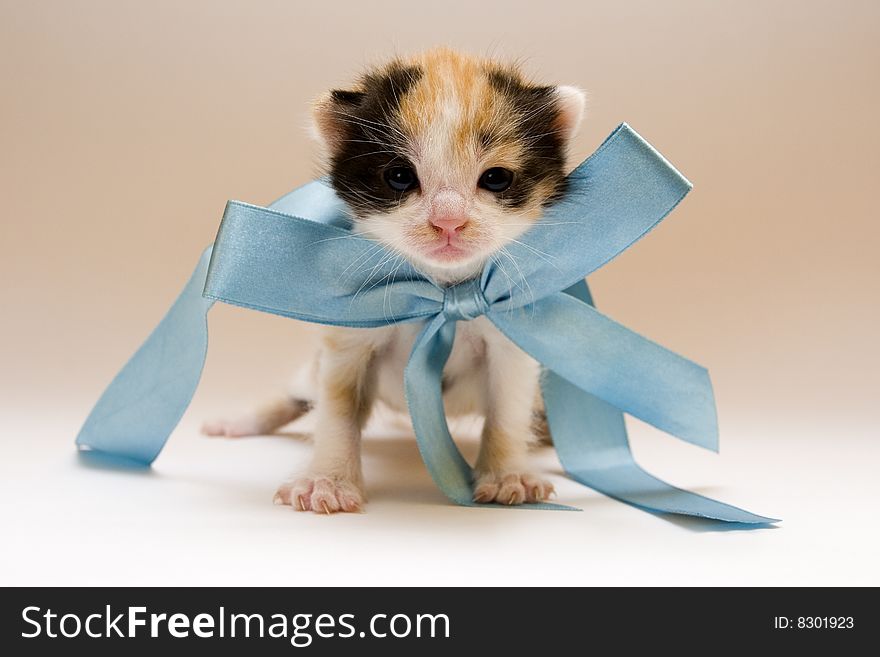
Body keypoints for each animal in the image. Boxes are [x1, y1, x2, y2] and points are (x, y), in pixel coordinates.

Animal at [201, 51, 584, 512]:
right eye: (400, 176)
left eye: (496, 178)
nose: (448, 220)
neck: (440, 291)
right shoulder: (348, 336)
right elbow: (337, 407)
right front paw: (326, 482)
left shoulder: (509, 341)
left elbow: (508, 409)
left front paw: (509, 475)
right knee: (299, 392)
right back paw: (240, 422)